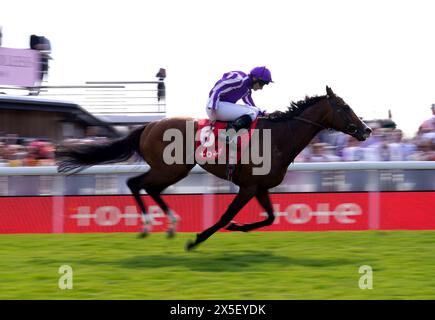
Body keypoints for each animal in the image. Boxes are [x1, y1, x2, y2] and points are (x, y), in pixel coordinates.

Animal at [56, 87, 372, 250]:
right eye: (344, 107)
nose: (367, 130)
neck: (279, 136)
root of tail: (148, 125)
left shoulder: (260, 187)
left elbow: (270, 218)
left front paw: (238, 227)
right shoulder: (248, 186)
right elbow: (225, 215)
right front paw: (197, 239)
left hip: (176, 169)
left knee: (148, 187)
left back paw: (170, 225)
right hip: (169, 168)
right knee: (137, 184)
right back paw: (149, 226)